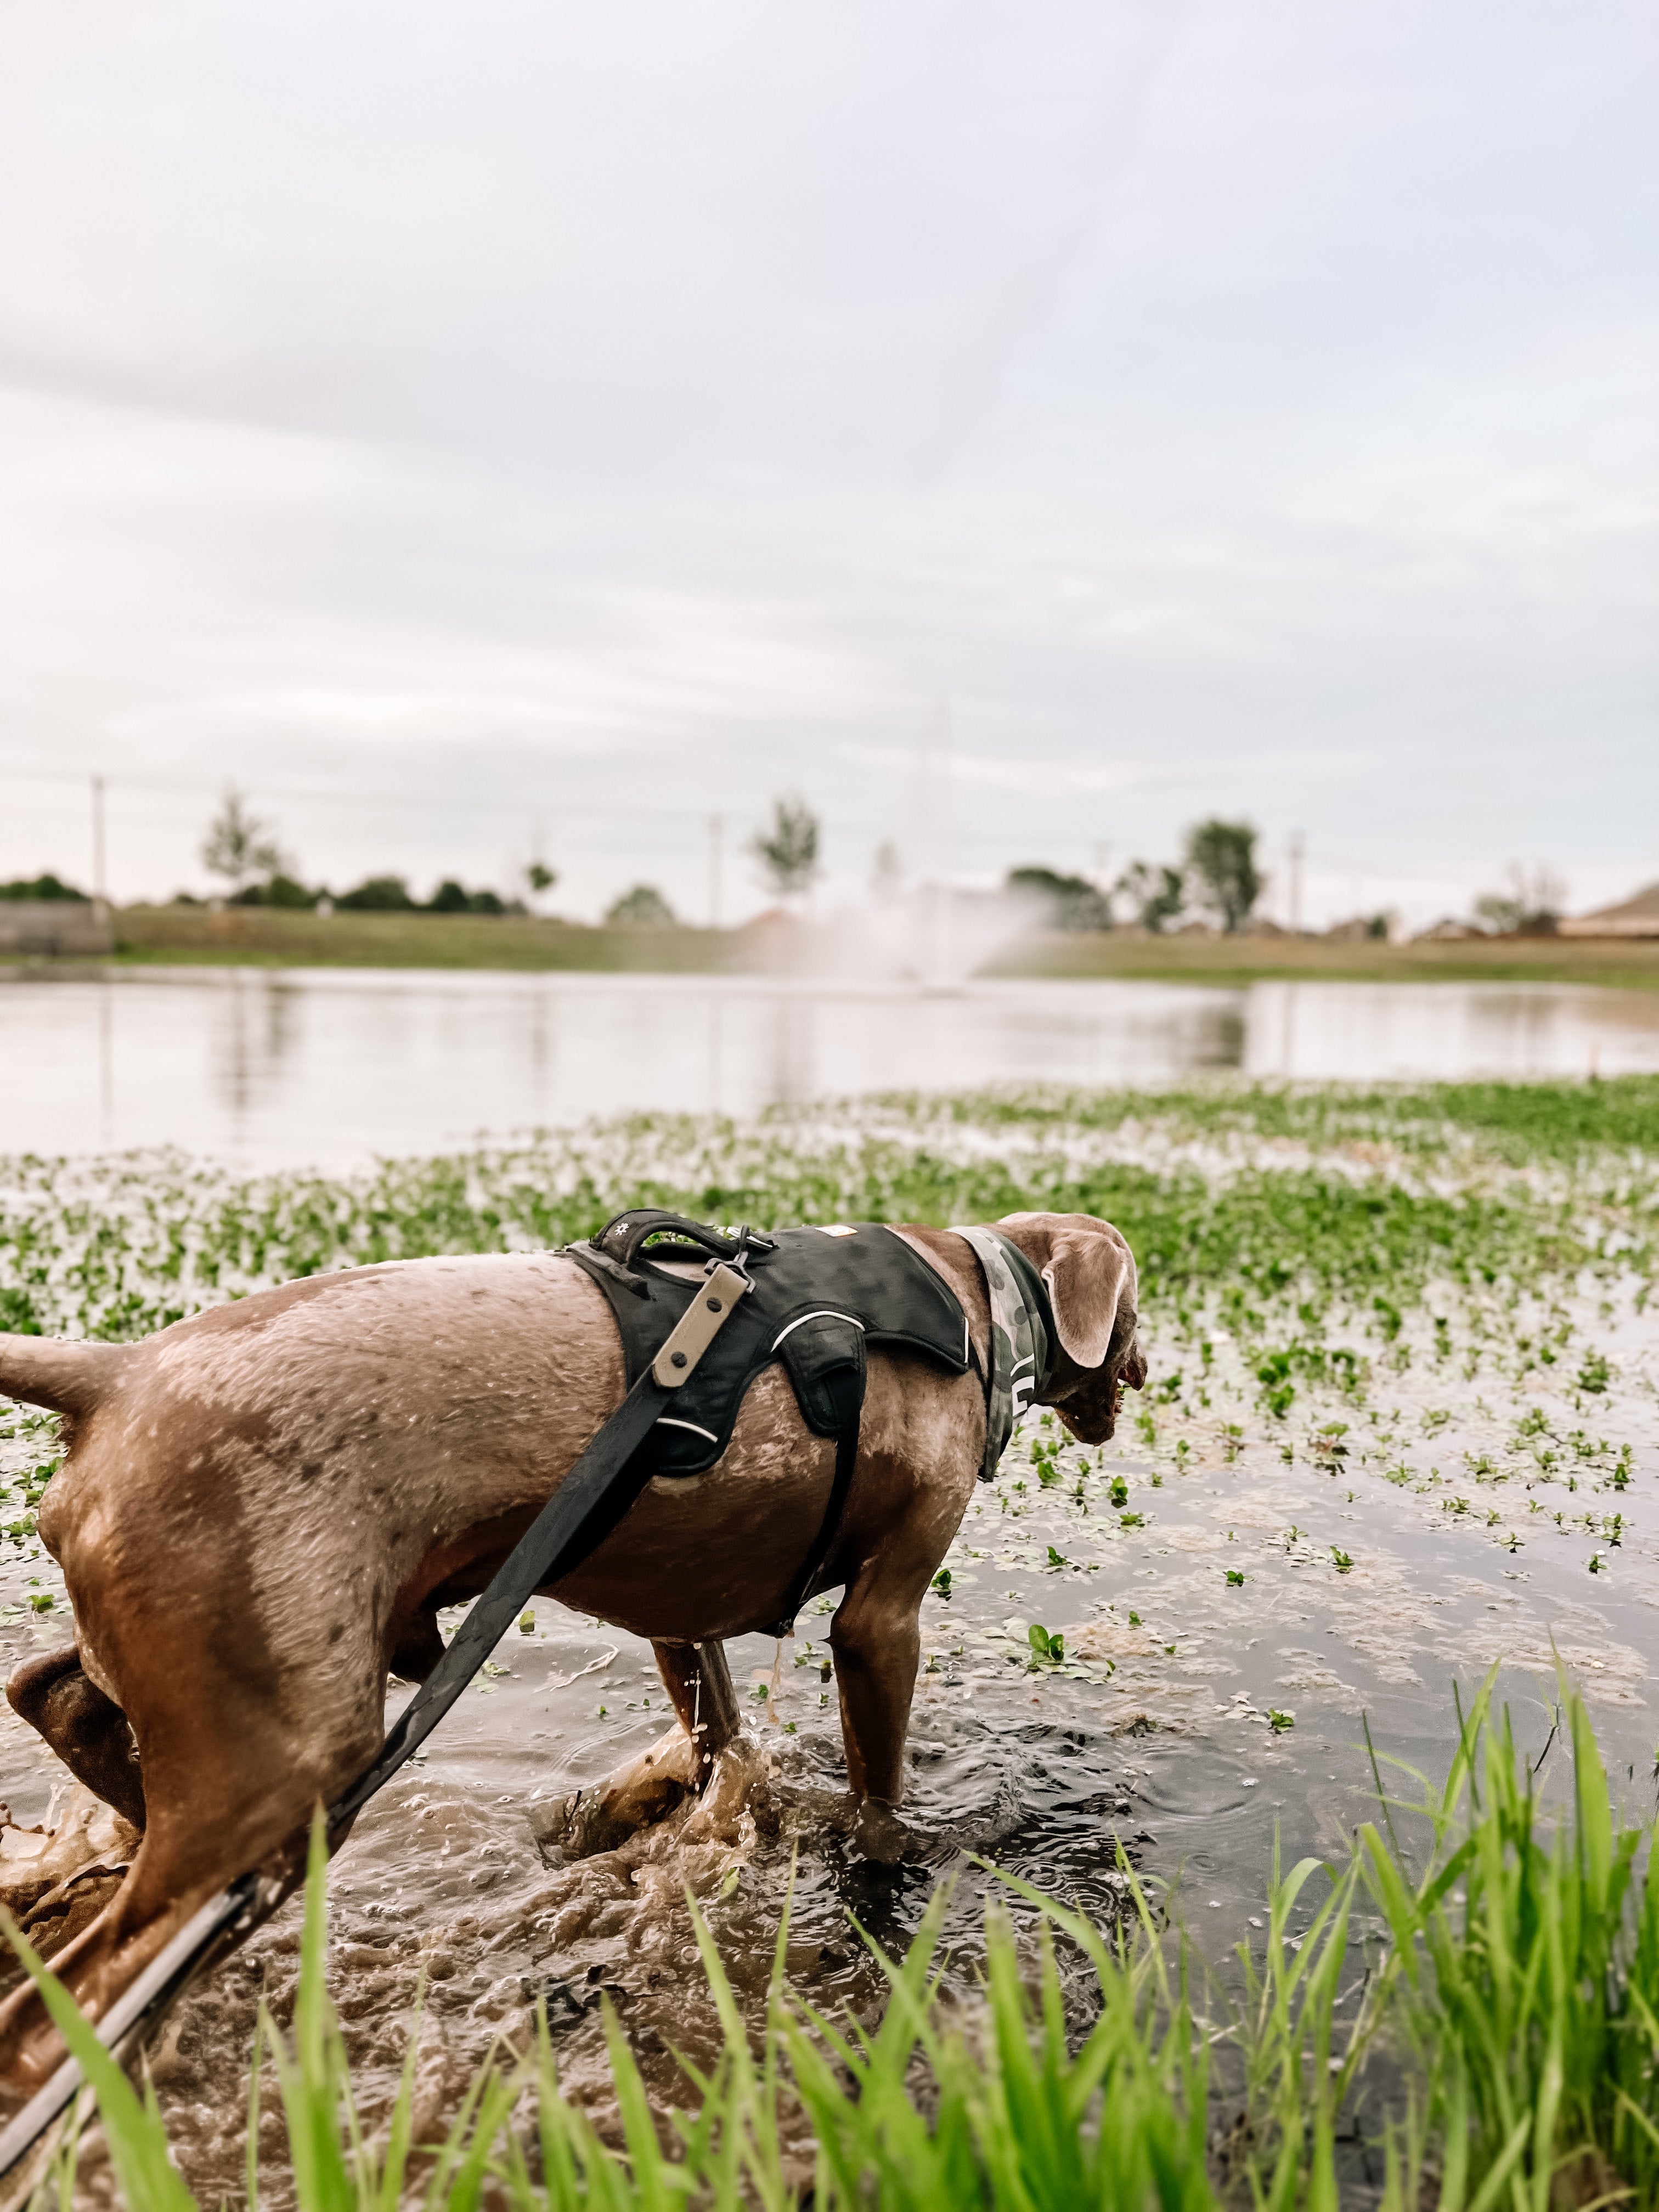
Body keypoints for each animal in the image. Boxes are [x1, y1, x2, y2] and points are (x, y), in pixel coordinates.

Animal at [0, 1221, 1141, 2097]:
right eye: (1134, 1312)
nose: (1137, 1373)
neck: (977, 1292)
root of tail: (117, 1373)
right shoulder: (880, 1617)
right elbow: (877, 1800)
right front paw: (899, 1848)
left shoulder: (682, 1606)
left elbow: (720, 1738)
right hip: (283, 1749)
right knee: (57, 2016)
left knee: (51, 1691)